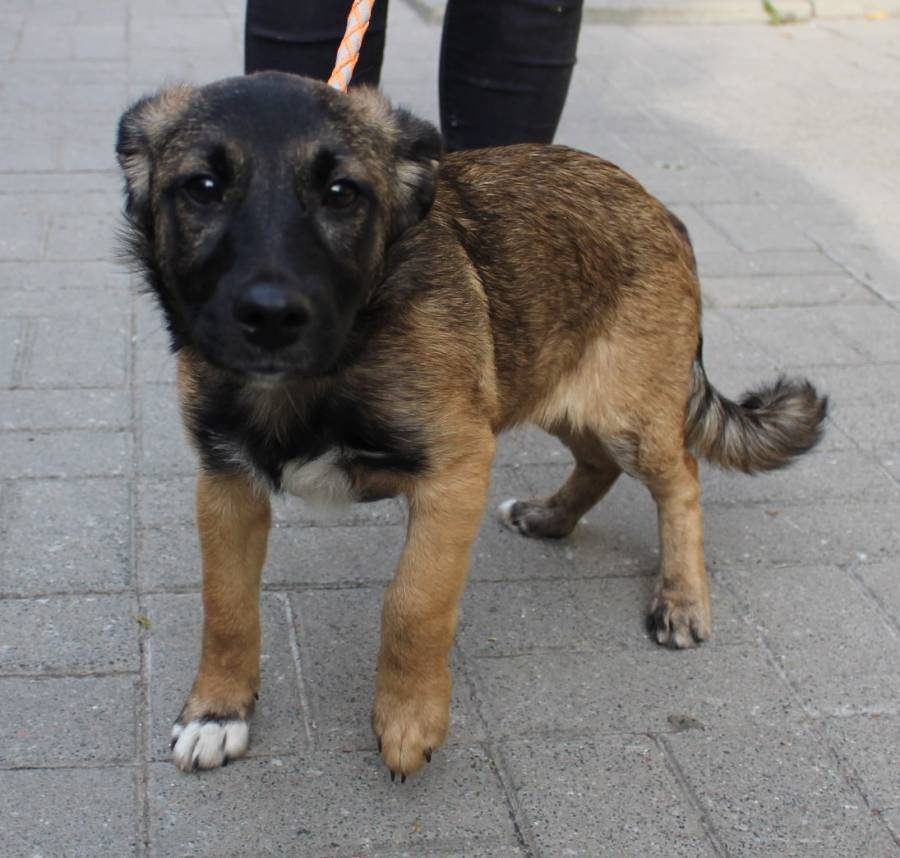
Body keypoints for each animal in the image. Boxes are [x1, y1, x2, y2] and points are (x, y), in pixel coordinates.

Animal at [116, 73, 828, 780]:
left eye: (343, 193)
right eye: (203, 187)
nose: (270, 317)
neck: (340, 358)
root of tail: (657, 206)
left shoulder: (455, 471)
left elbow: (413, 603)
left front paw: (409, 718)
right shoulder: (225, 479)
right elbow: (226, 604)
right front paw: (217, 712)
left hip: (628, 413)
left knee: (681, 479)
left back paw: (680, 598)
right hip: (546, 387)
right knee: (597, 465)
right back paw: (550, 517)